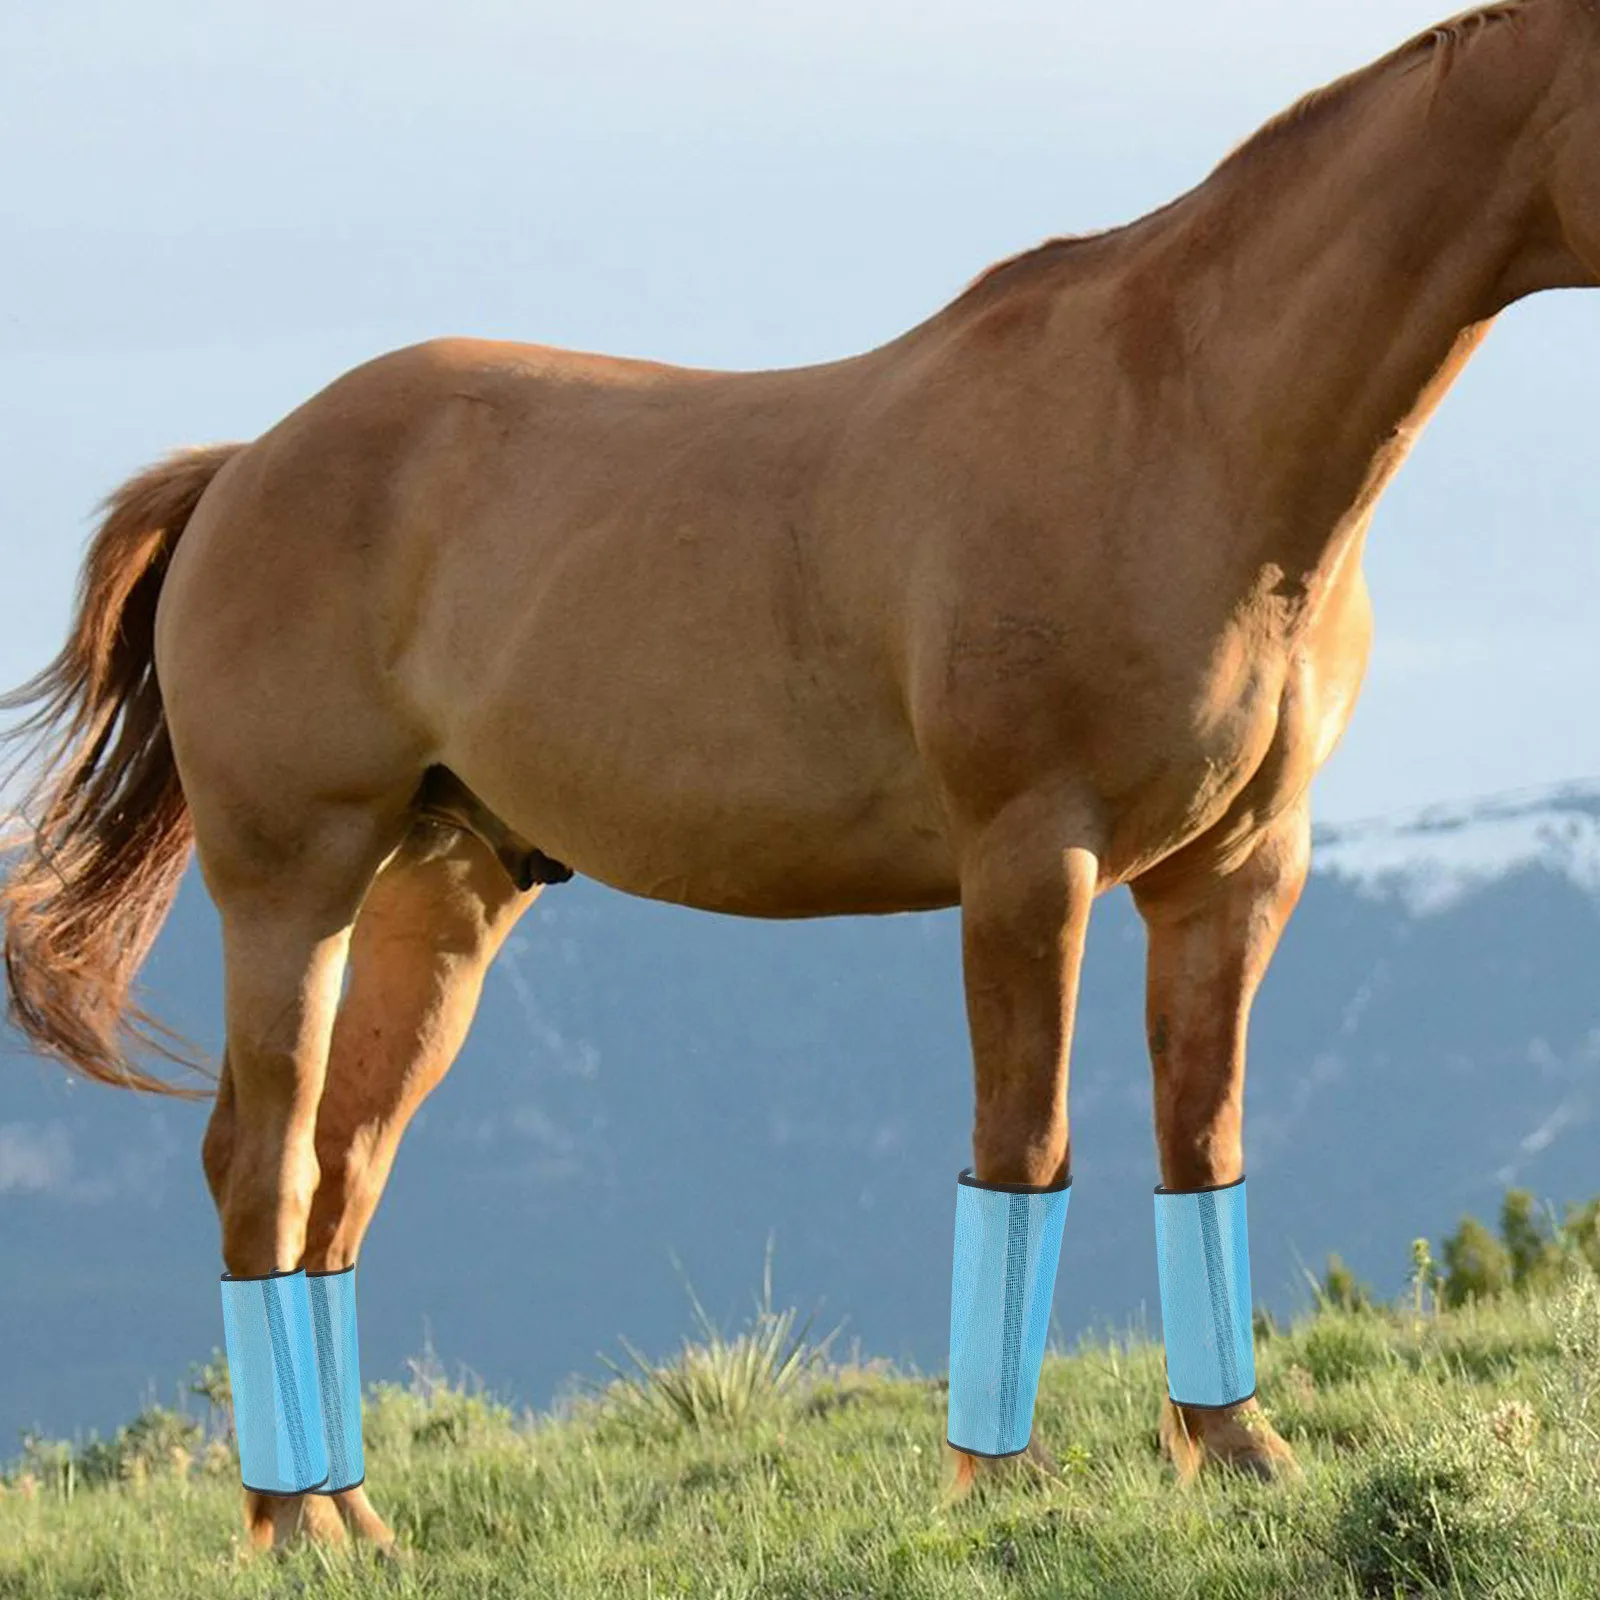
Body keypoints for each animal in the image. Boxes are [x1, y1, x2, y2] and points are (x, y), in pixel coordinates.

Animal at [3, 0, 1597, 1550]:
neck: (1178, 427)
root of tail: (241, 466)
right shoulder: (1033, 854)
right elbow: (1023, 1141)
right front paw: (1001, 1486)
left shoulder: (1238, 867)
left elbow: (1203, 1139)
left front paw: (1236, 1449)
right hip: (294, 882)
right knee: (260, 1164)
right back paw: (289, 1527)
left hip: (439, 896)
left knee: (339, 1170)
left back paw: (355, 1520)